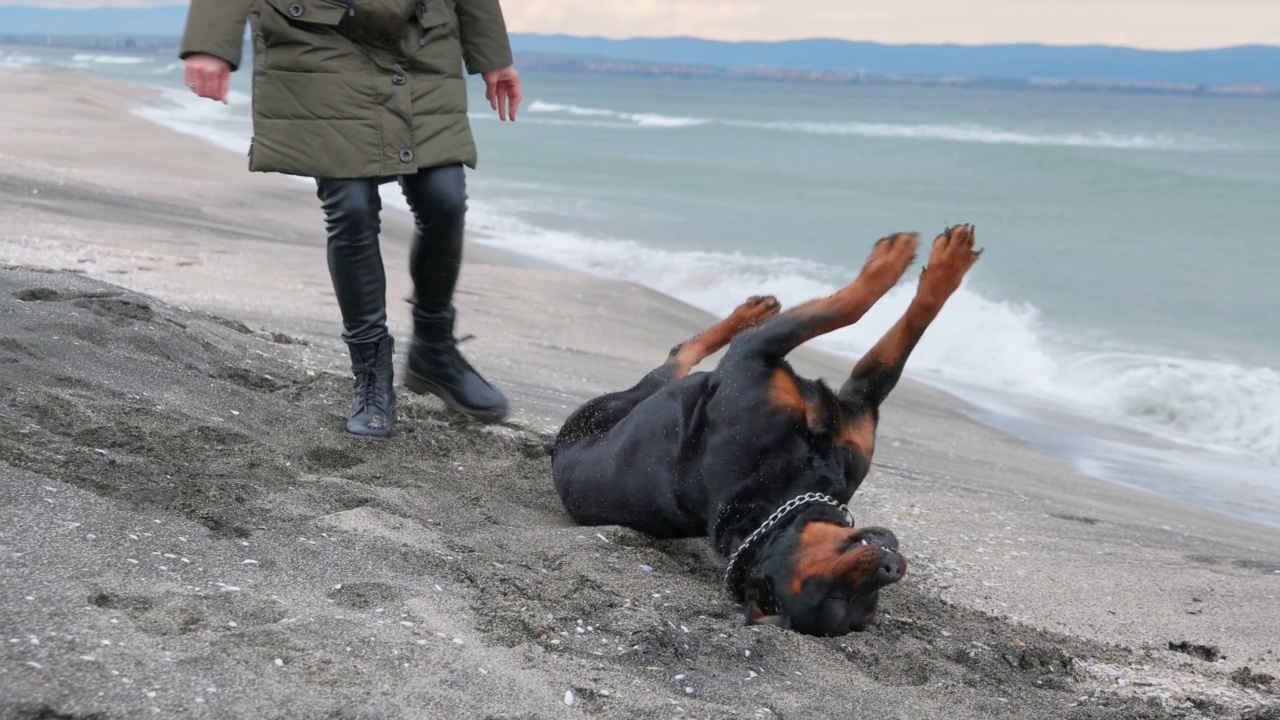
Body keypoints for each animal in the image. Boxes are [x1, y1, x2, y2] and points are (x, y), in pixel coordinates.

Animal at [550, 224, 977, 632]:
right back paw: (749, 312)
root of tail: (556, 452)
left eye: (866, 610)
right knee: (678, 356)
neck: (784, 486)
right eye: (837, 595)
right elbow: (848, 308)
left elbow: (900, 336)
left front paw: (944, 266)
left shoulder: (856, 414)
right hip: (626, 400)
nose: (891, 568)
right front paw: (903, 260)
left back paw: (754, 308)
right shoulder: (755, 355)